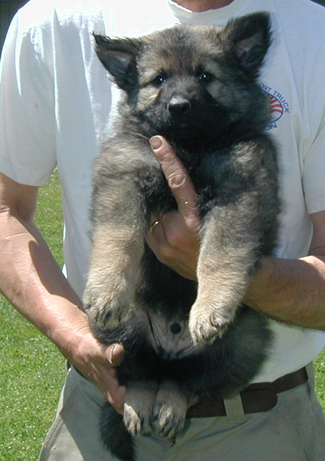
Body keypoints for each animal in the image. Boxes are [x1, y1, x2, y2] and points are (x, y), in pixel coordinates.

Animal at [85, 13, 280, 460]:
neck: (189, 146)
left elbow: (219, 253)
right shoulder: (124, 175)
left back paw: (170, 402)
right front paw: (106, 289)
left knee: (185, 382)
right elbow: (118, 235)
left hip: (242, 344)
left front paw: (211, 306)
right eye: (158, 79)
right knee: (139, 375)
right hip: (122, 333)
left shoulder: (240, 191)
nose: (179, 106)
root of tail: (169, 349)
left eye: (205, 76)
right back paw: (140, 402)